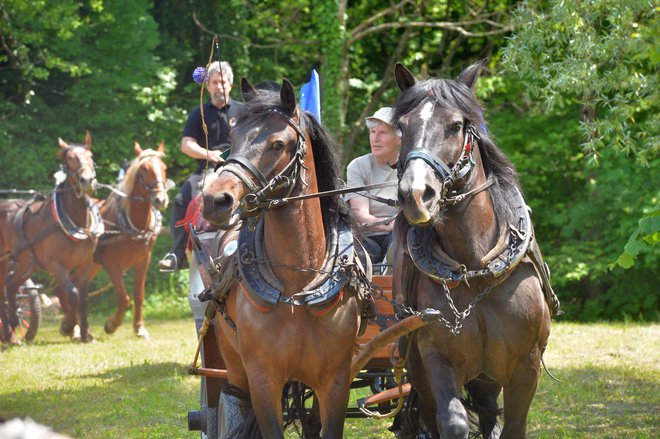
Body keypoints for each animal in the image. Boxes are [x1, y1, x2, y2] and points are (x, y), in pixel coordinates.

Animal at [0, 132, 102, 346]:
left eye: (90, 155)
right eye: (70, 157)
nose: (86, 180)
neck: (74, 220)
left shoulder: (84, 265)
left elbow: (83, 299)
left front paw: (86, 334)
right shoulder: (56, 266)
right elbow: (72, 295)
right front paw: (67, 327)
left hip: (26, 264)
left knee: (10, 287)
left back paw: (12, 330)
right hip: (4, 261)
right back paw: (9, 333)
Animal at [77, 143, 170, 338]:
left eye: (164, 168)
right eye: (143, 169)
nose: (160, 199)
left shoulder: (143, 260)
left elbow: (138, 295)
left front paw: (139, 328)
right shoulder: (112, 264)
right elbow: (123, 298)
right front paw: (111, 324)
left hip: (91, 265)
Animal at [201, 77, 366, 438]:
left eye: (277, 144)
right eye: (232, 139)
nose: (216, 200)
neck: (297, 281)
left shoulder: (336, 381)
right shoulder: (263, 380)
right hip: (234, 366)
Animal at [392, 61, 564, 436]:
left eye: (456, 126)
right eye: (401, 126)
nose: (415, 195)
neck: (475, 269)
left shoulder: (525, 366)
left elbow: (513, 426)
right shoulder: (435, 356)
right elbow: (452, 421)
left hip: (489, 377)